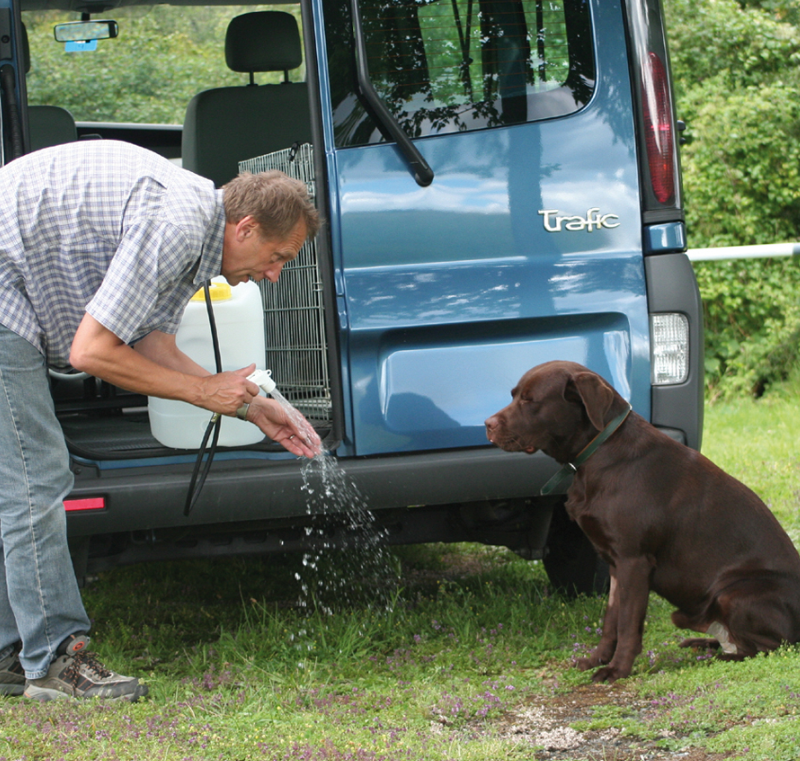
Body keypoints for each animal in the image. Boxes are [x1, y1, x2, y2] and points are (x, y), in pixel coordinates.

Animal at [484, 360, 800, 680]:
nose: (487, 424)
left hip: (732, 593)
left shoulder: (633, 560)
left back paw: (716, 658)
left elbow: (627, 624)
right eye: (513, 395)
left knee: (767, 647)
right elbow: (611, 622)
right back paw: (702, 645)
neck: (600, 451)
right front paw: (596, 660)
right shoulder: (615, 565)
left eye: (529, 400)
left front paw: (617, 670)